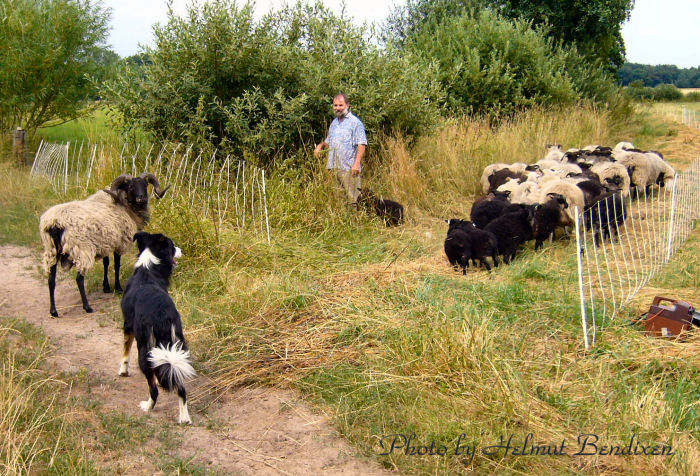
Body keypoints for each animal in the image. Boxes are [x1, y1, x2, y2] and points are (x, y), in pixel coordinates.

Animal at [39, 174, 168, 316]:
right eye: (130, 187)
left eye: (145, 185)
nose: (142, 198)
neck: (125, 207)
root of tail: (55, 223)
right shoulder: (120, 243)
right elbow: (117, 265)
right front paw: (118, 288)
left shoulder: (106, 242)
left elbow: (106, 263)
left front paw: (106, 287)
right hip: (82, 250)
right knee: (79, 279)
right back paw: (87, 307)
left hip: (51, 251)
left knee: (51, 279)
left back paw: (53, 311)